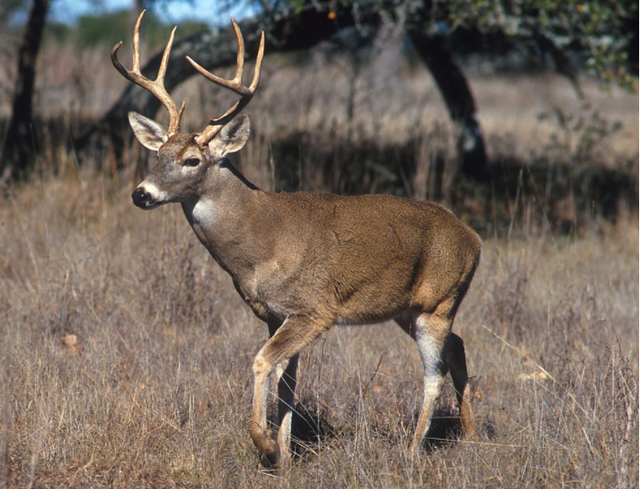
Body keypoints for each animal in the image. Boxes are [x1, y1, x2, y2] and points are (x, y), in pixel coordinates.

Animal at [112, 11, 480, 468]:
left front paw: (266, 444)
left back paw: (413, 450)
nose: (141, 194)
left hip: (438, 301)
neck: (261, 244)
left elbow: (261, 362)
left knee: (434, 371)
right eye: (157, 155)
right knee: (458, 346)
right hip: (408, 308)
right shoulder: (275, 313)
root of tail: (474, 238)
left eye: (192, 160)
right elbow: (287, 380)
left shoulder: (314, 308)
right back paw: (469, 434)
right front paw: (286, 455)